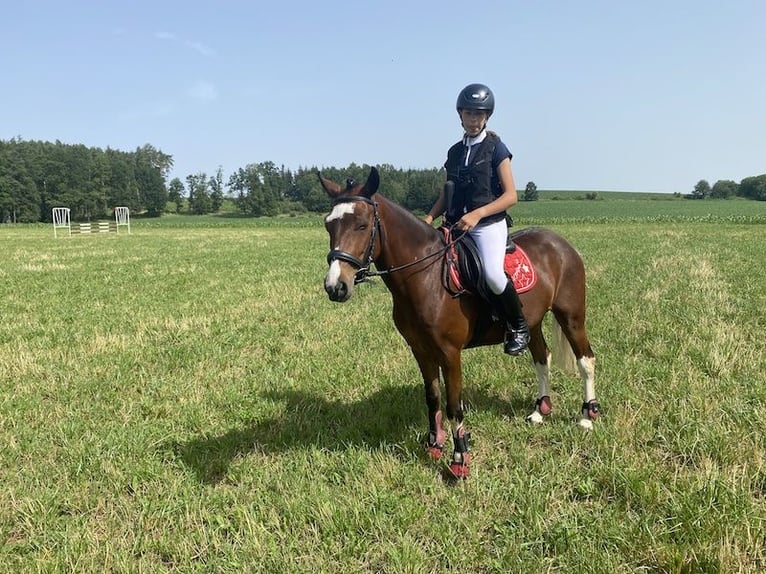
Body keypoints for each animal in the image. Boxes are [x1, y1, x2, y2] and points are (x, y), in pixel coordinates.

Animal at [319, 166, 599, 479]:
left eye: (362, 225)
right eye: (329, 225)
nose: (335, 287)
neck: (425, 275)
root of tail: (561, 243)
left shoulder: (450, 353)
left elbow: (454, 405)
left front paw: (459, 459)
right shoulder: (421, 350)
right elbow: (432, 397)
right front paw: (434, 445)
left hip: (571, 316)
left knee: (586, 359)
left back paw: (587, 416)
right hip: (533, 322)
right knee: (542, 359)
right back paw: (540, 410)